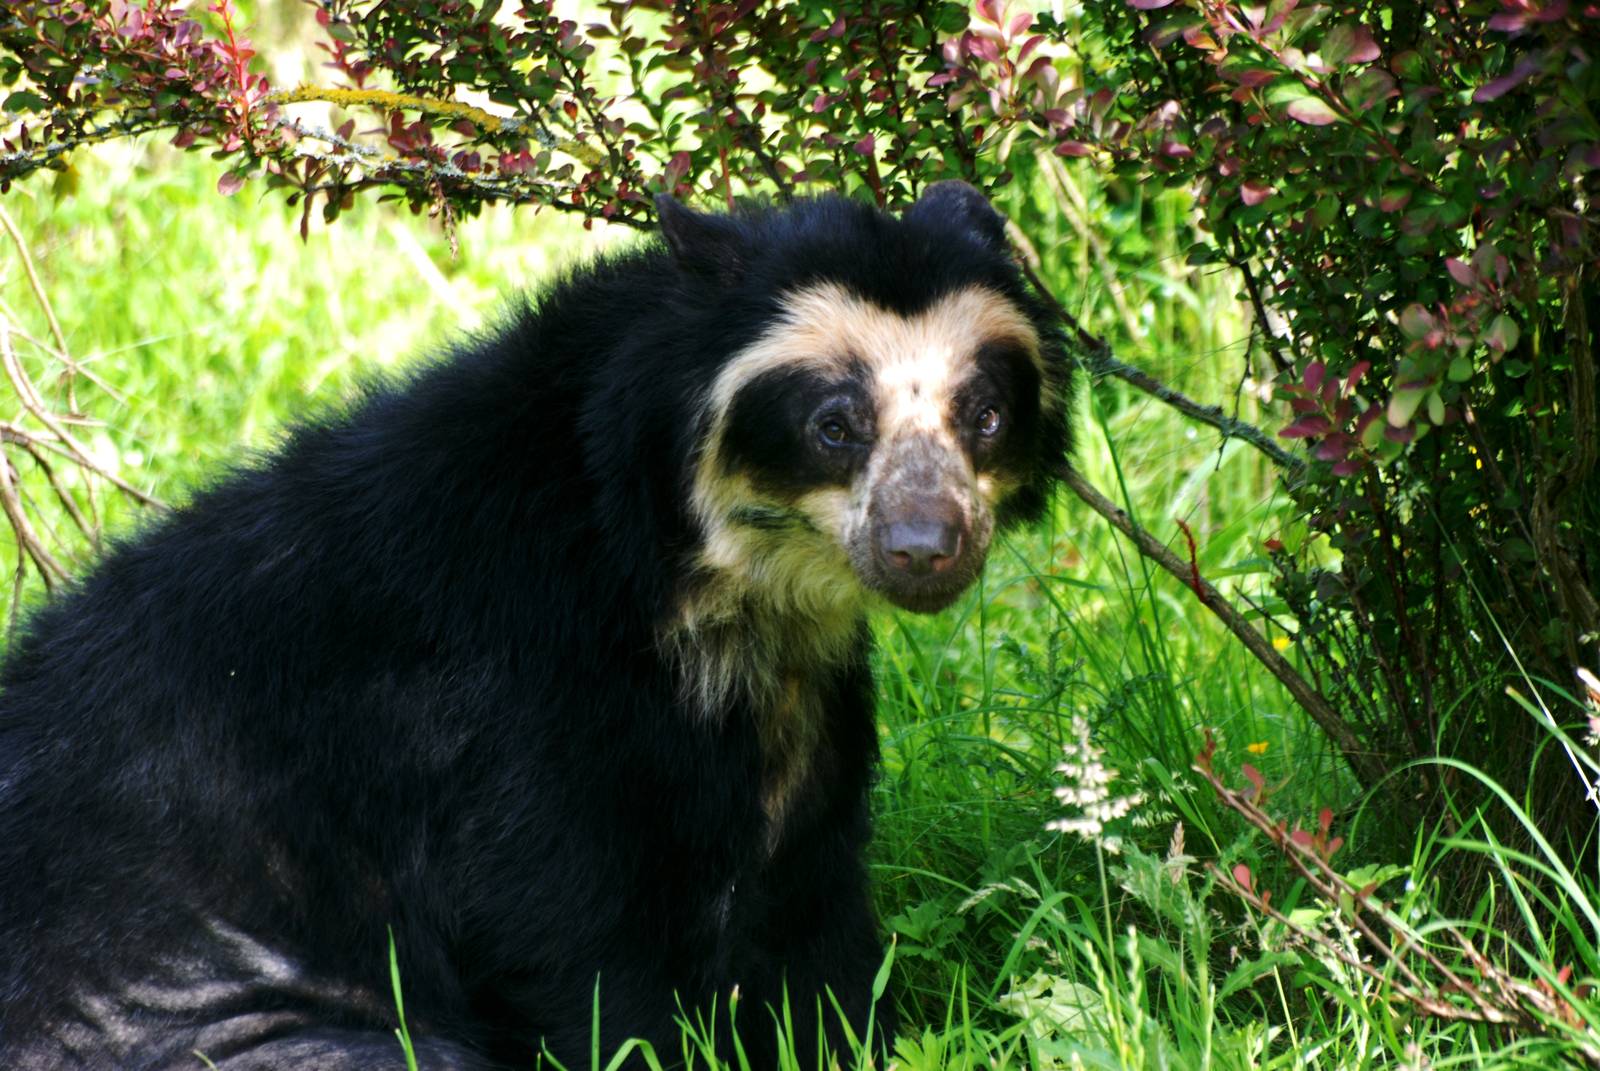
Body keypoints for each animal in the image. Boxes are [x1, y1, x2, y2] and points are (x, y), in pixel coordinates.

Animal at [0, 182, 1071, 1070]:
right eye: (833, 425)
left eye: (984, 413)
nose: (924, 546)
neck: (711, 584)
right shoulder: (517, 701)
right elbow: (568, 924)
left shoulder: (797, 696)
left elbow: (810, 897)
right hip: (187, 1012)